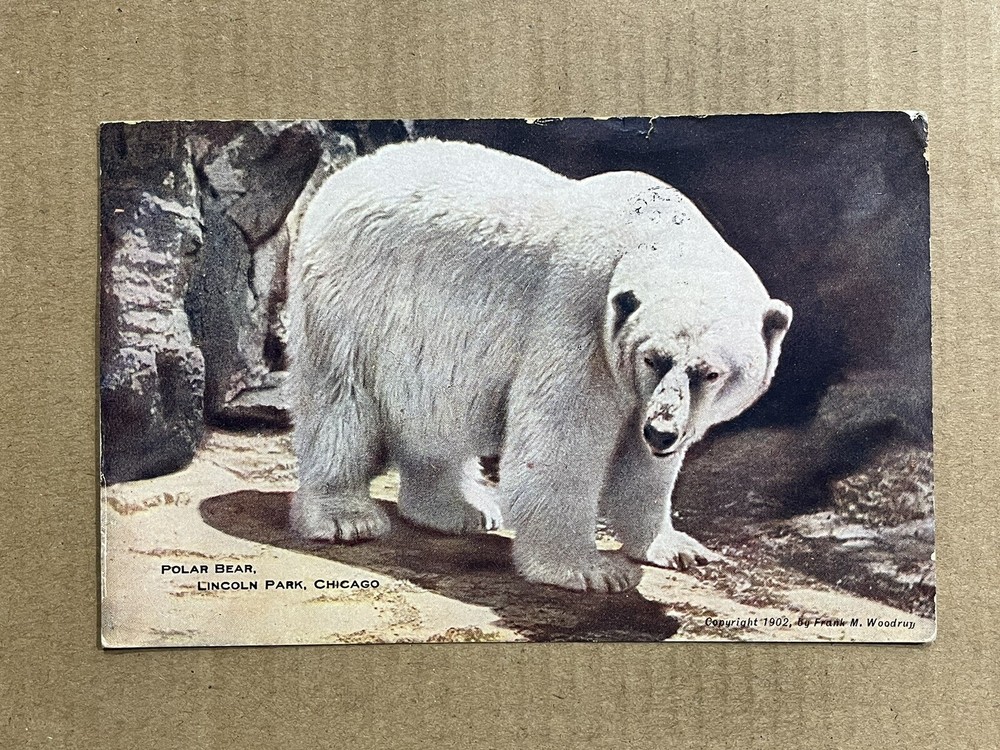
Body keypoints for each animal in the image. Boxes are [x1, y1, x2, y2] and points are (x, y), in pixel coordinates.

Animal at [286, 139, 792, 593]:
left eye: (710, 373)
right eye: (654, 358)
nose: (663, 432)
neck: (650, 235)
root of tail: (340, 179)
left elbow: (644, 465)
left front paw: (676, 547)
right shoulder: (579, 316)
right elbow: (561, 439)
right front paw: (591, 570)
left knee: (434, 421)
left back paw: (462, 509)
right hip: (355, 300)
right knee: (340, 402)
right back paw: (347, 517)